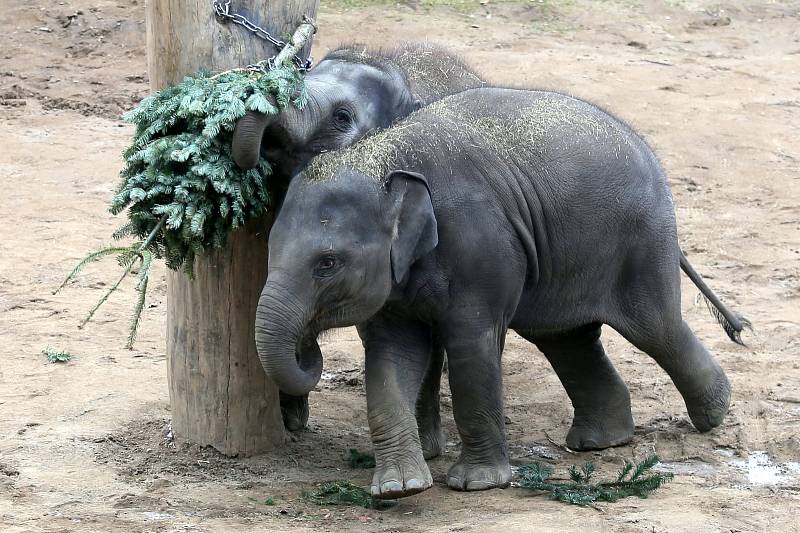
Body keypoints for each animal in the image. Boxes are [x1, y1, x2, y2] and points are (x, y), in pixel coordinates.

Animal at [253, 86, 748, 498]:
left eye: (327, 263)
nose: (309, 349)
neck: (384, 155)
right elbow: (392, 356)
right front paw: (398, 488)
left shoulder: (481, 246)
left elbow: (472, 344)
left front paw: (476, 484)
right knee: (566, 338)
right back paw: (599, 442)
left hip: (642, 244)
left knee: (656, 327)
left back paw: (714, 414)